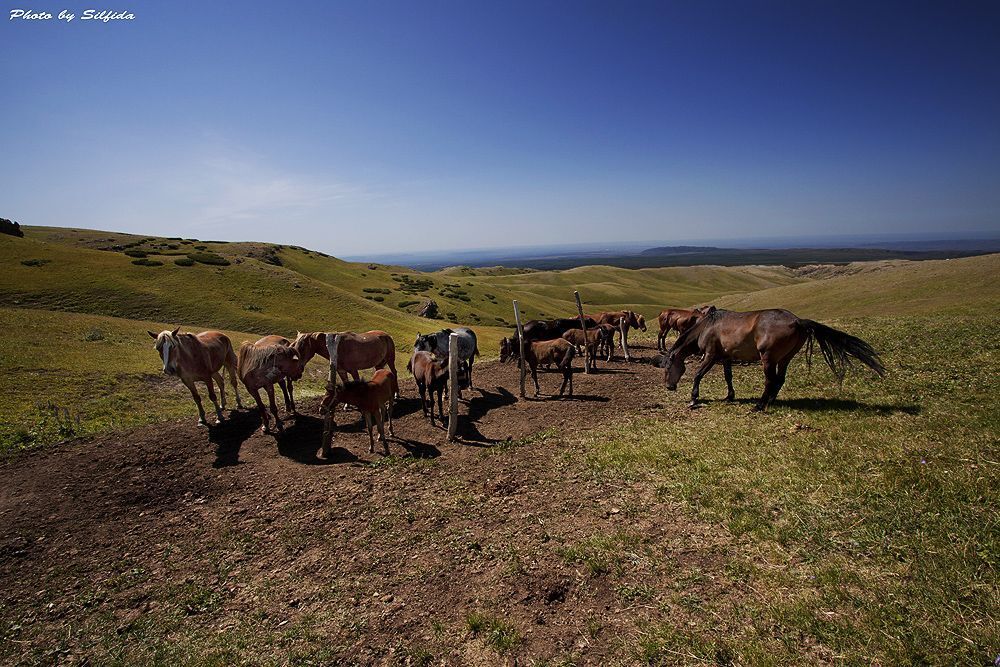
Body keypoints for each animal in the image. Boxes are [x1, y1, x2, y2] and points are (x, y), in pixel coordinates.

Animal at [662, 307, 885, 411]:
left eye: (667, 368)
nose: (668, 387)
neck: (706, 327)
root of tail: (798, 321)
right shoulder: (725, 358)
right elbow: (728, 377)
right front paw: (730, 396)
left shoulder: (710, 355)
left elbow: (698, 375)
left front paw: (694, 398)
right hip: (785, 358)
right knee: (779, 379)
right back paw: (770, 401)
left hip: (768, 358)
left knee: (770, 380)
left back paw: (760, 406)